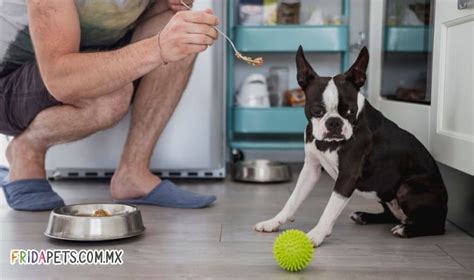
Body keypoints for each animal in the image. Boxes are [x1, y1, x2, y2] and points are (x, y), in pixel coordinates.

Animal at [254, 46, 446, 247]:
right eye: (317, 111)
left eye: (349, 111)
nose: (334, 123)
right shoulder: (311, 169)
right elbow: (293, 199)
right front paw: (274, 222)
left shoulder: (348, 175)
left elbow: (330, 207)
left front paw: (316, 234)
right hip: (384, 192)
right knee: (392, 215)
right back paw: (365, 216)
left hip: (407, 187)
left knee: (435, 226)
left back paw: (406, 229)